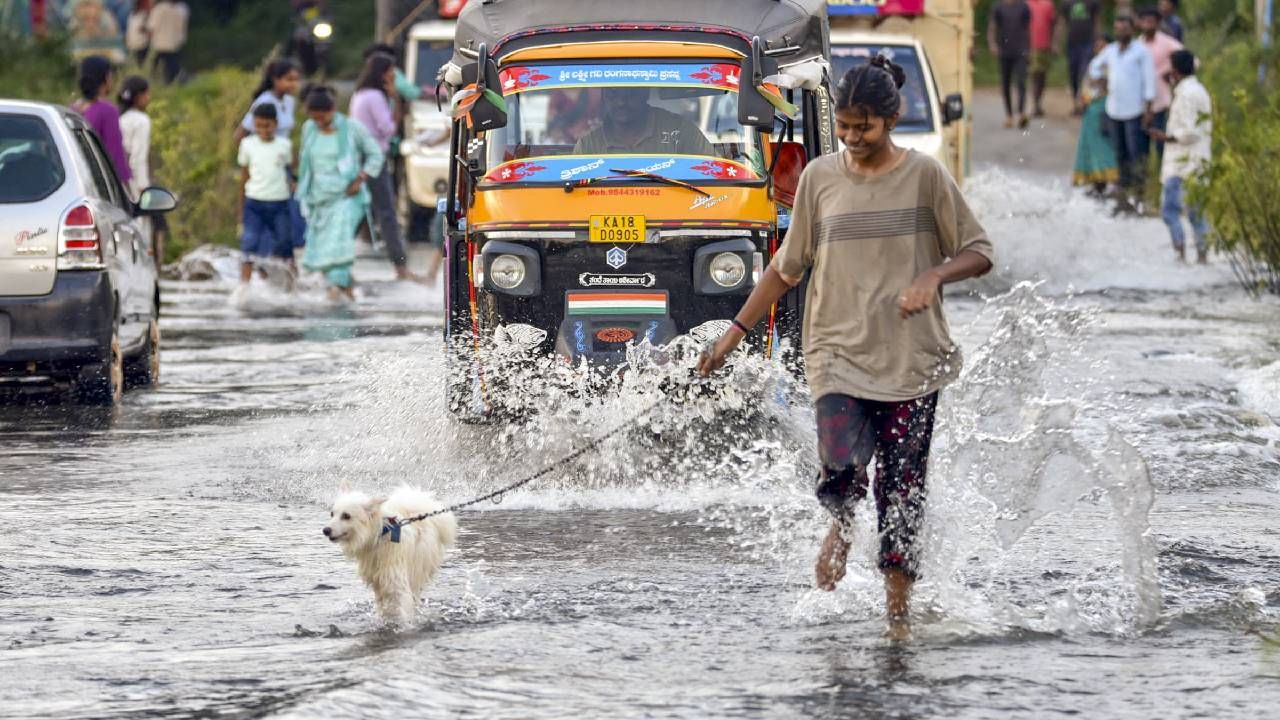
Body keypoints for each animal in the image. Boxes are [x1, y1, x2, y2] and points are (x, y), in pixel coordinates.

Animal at [322, 486, 458, 622]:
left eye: (346, 516)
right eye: (332, 514)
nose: (325, 530)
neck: (380, 535)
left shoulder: (397, 582)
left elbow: (400, 609)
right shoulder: (378, 582)